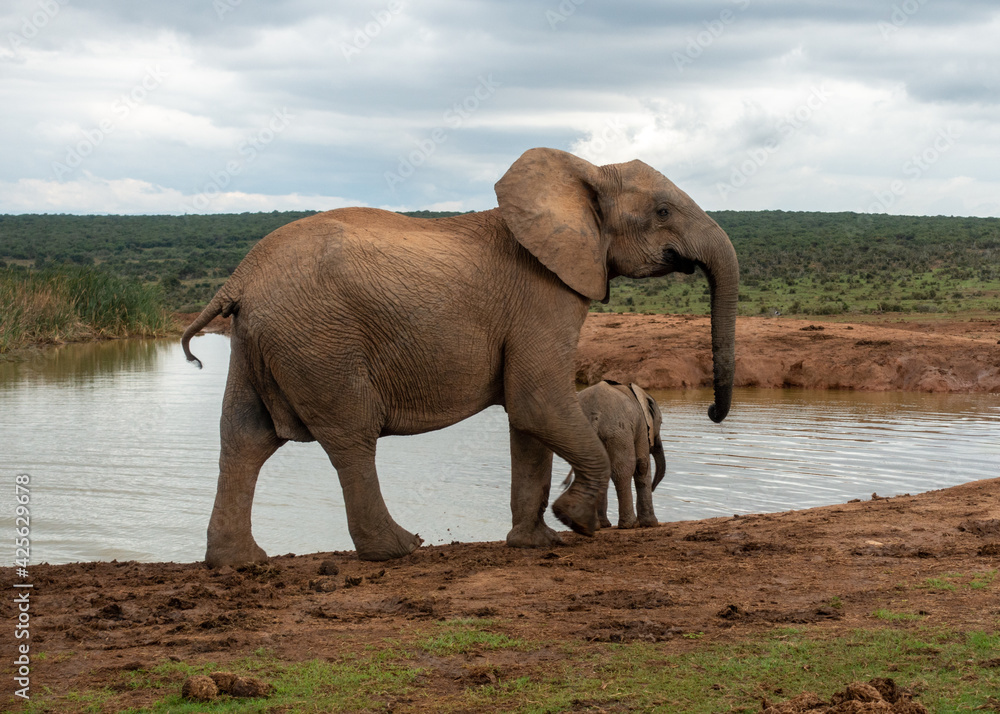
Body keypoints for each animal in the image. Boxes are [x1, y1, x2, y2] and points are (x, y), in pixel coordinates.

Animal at [563, 380, 665, 529]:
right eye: (661, 423)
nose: (653, 488)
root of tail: (594, 417)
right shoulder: (640, 425)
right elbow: (642, 465)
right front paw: (651, 524)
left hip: (580, 435)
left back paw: (596, 525)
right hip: (618, 432)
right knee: (623, 472)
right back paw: (630, 524)